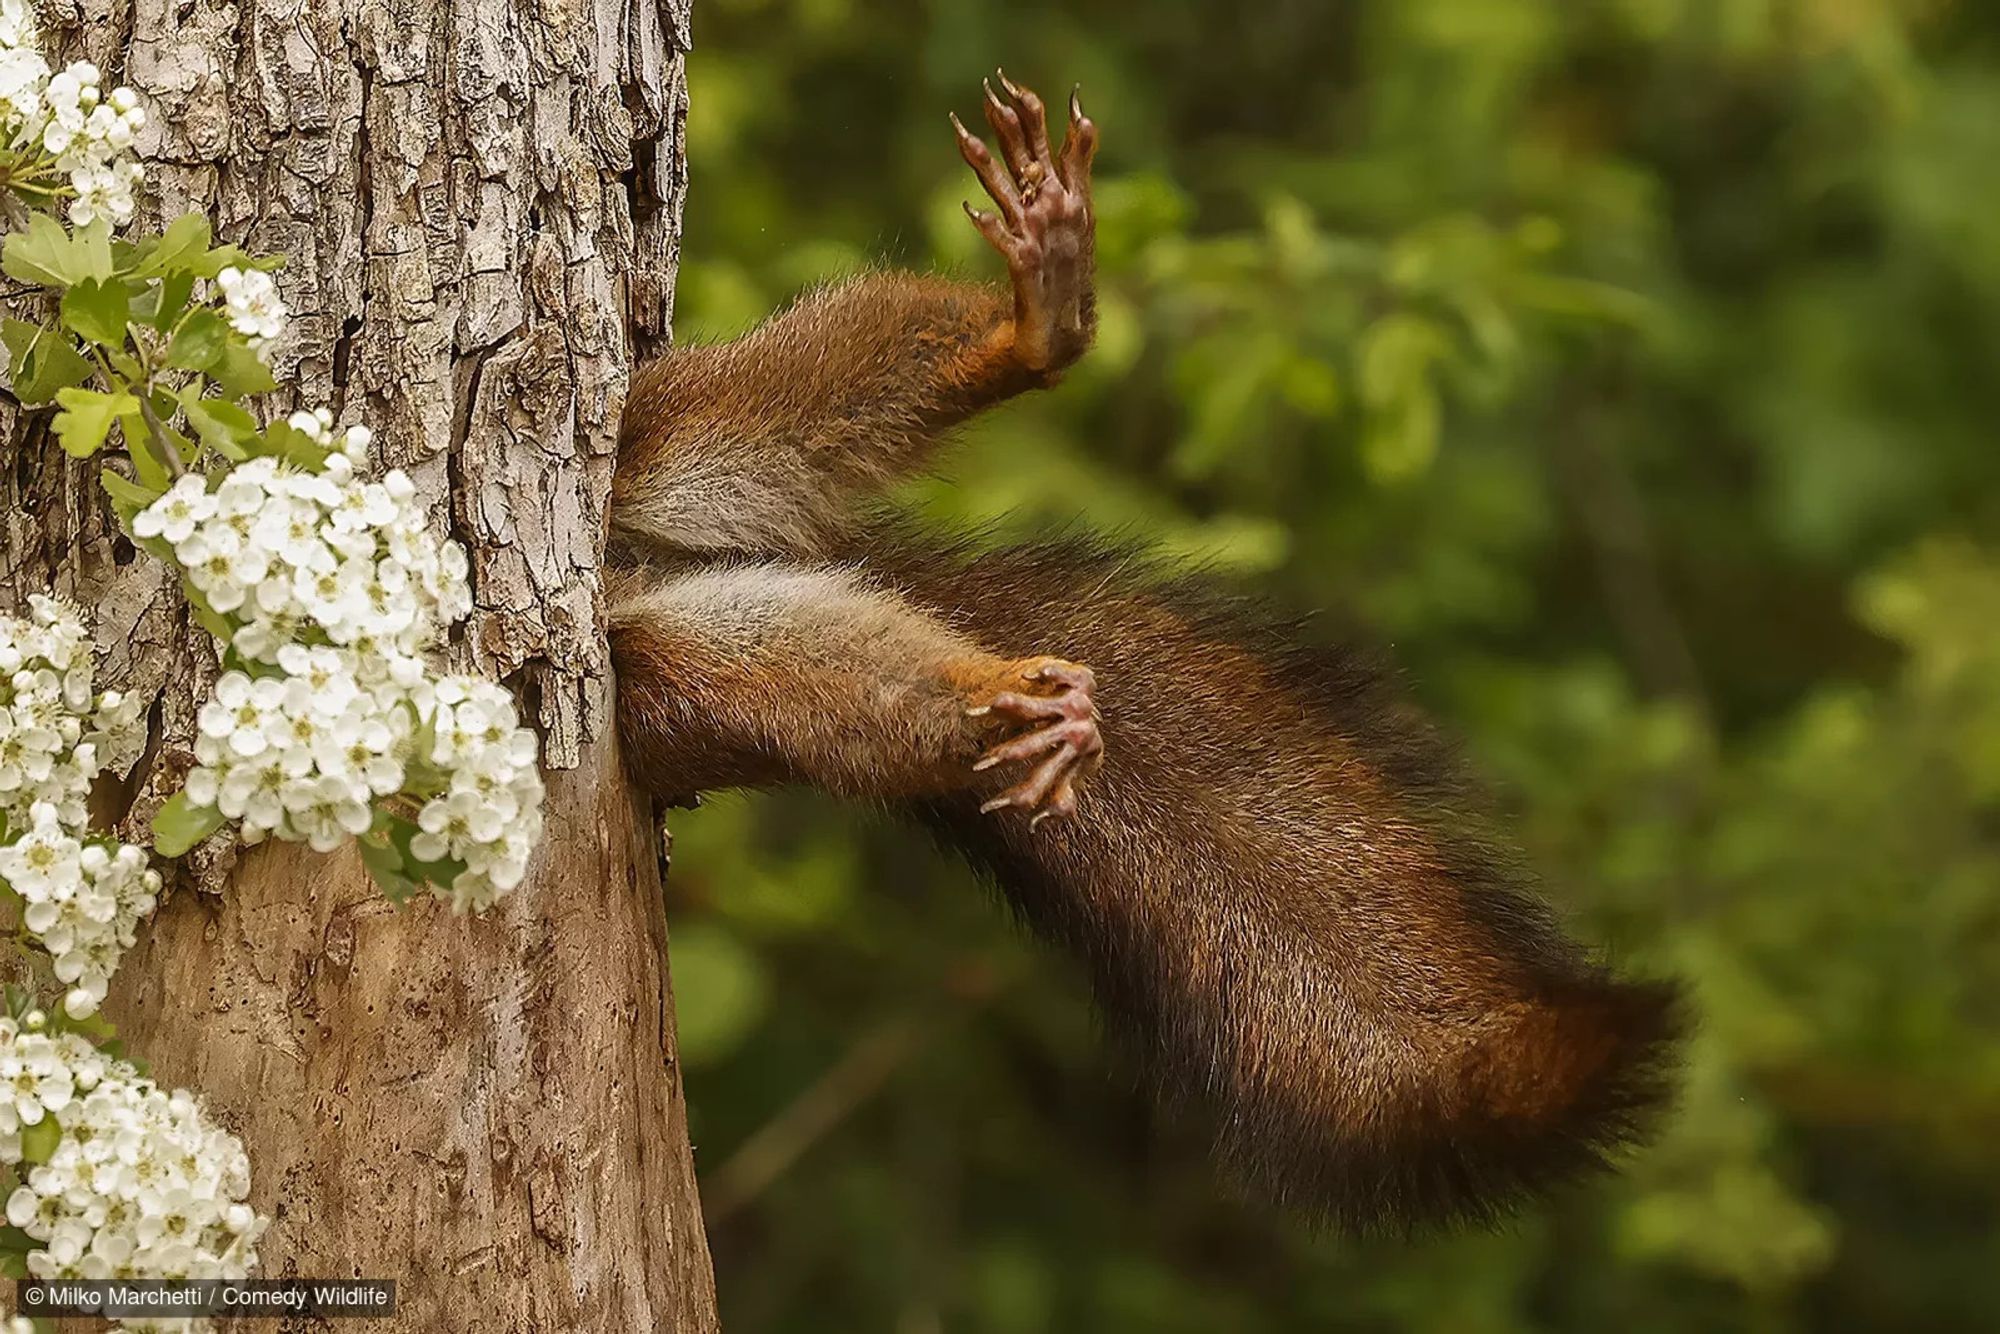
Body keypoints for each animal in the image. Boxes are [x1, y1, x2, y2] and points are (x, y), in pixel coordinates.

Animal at [600, 73, 1680, 1240]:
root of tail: (635, 570)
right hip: (670, 672)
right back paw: (1010, 701)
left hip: (659, 435)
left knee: (788, 395)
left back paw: (1036, 328)